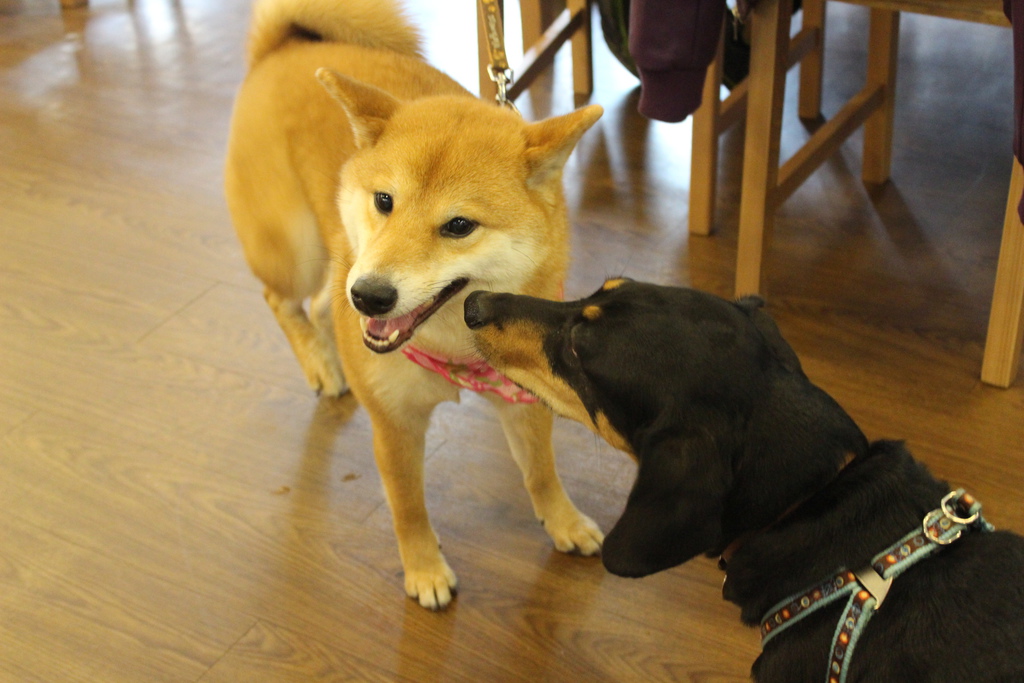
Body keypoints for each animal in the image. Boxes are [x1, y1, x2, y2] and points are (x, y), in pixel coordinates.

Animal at [224, 0, 602, 610]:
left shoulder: (522, 399)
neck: (454, 348)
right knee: (284, 300)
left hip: (337, 261)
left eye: (459, 226)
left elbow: (542, 472)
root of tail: (285, 46)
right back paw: (321, 365)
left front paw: (564, 522)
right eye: (385, 200)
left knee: (322, 304)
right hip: (297, 251)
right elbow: (408, 507)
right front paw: (425, 570)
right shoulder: (395, 425)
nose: (371, 295)